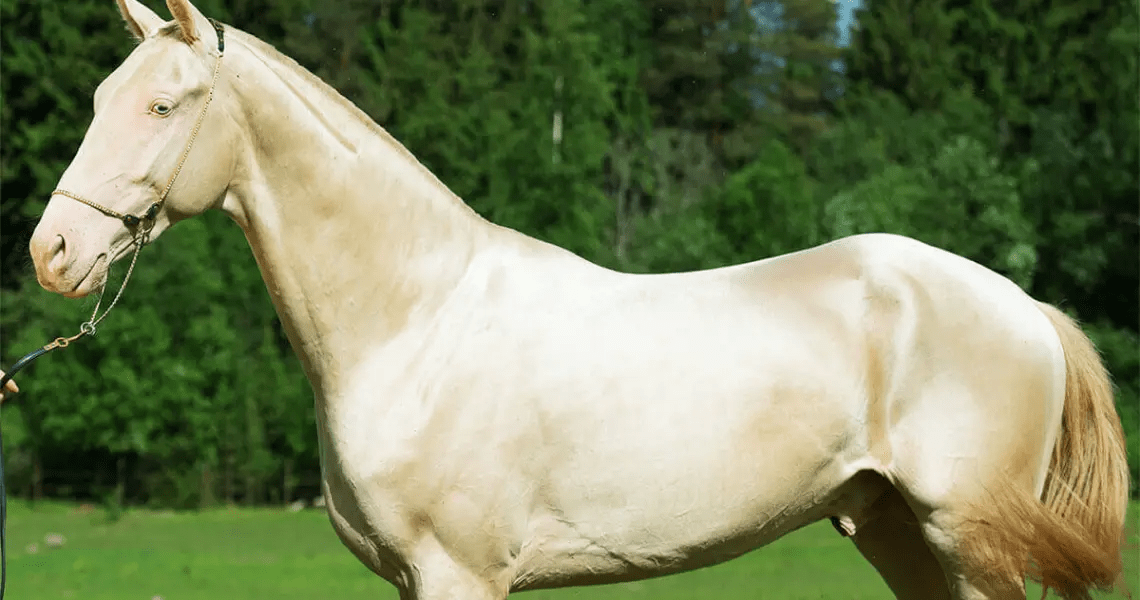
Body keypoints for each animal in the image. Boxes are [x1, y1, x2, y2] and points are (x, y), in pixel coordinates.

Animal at [18, 1, 1129, 598]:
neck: (414, 323)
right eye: (98, 98)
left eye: (165, 104)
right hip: (897, 532)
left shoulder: (458, 574)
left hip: (971, 541)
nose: (52, 251)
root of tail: (1027, 310)